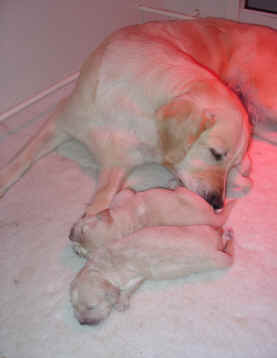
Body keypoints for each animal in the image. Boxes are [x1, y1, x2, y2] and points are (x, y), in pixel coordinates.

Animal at [0, 18, 250, 227]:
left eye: (230, 163)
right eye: (216, 153)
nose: (218, 204)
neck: (133, 107)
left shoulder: (119, 164)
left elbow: (102, 200)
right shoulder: (61, 118)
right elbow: (22, 157)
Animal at [70, 225, 232, 326]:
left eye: (91, 307)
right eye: (74, 307)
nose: (82, 323)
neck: (101, 268)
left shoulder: (134, 276)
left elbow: (127, 290)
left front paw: (121, 302)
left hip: (215, 253)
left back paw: (228, 235)